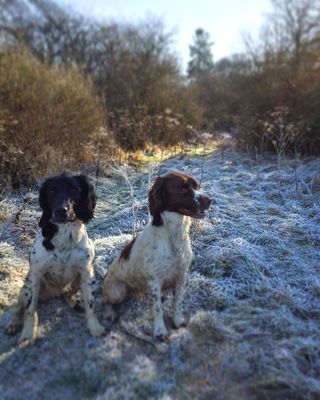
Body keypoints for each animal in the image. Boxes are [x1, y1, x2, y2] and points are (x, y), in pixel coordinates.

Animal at [5, 173, 104, 346]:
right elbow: (30, 310)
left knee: (66, 294)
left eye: (74, 189)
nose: (60, 211)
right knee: (19, 307)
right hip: (26, 286)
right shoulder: (35, 275)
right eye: (51, 191)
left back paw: (75, 302)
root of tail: (54, 293)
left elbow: (91, 304)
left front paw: (95, 327)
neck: (64, 237)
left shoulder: (86, 272)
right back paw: (14, 323)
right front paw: (28, 334)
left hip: (76, 281)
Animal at [103, 170, 212, 340]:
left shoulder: (181, 276)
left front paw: (178, 321)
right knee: (104, 300)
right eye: (183, 189)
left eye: (196, 186)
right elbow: (158, 309)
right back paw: (110, 313)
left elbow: (177, 303)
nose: (210, 200)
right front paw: (160, 331)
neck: (173, 236)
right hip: (118, 291)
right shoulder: (154, 281)